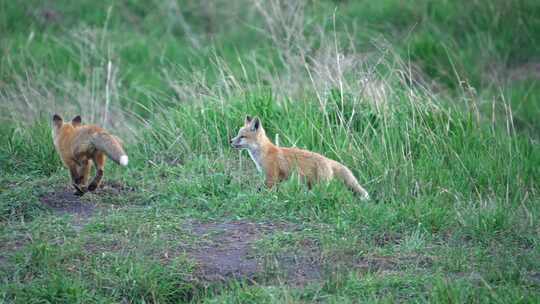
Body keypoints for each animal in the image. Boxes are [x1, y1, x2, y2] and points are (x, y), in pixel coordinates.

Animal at [230, 115, 370, 198]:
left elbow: (263, 191)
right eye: (238, 134)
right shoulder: (277, 179)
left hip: (321, 185)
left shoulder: (271, 177)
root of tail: (328, 160)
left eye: (242, 136)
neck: (264, 153)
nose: (230, 141)